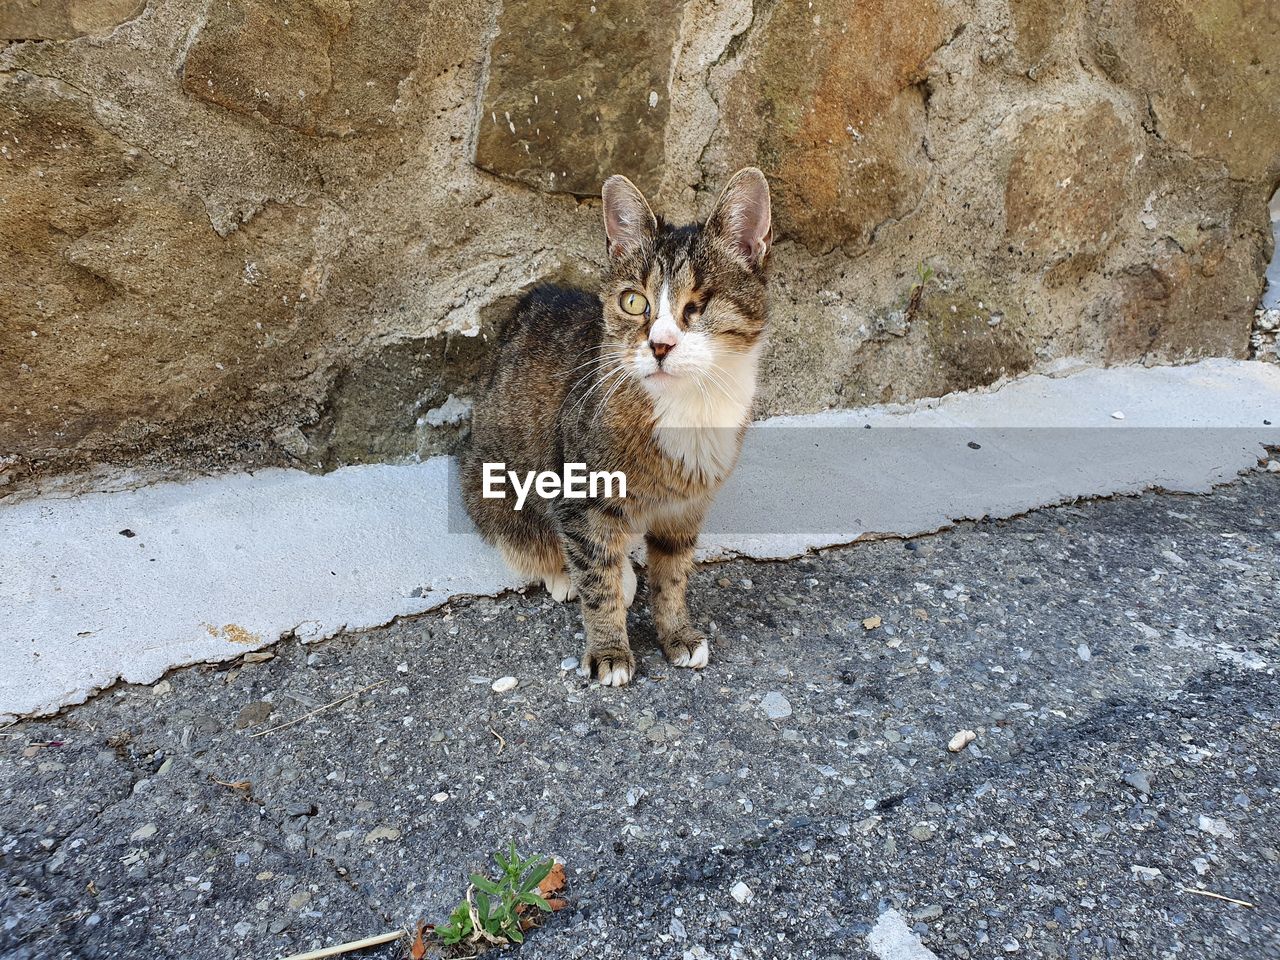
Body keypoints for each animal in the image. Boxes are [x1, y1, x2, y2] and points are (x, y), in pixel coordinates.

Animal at [465, 168, 773, 686]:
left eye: (700, 303)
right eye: (633, 301)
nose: (660, 345)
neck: (687, 408)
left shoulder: (685, 509)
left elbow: (672, 576)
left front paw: (677, 633)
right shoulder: (580, 496)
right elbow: (596, 579)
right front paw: (610, 649)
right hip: (493, 482)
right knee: (532, 538)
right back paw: (570, 573)